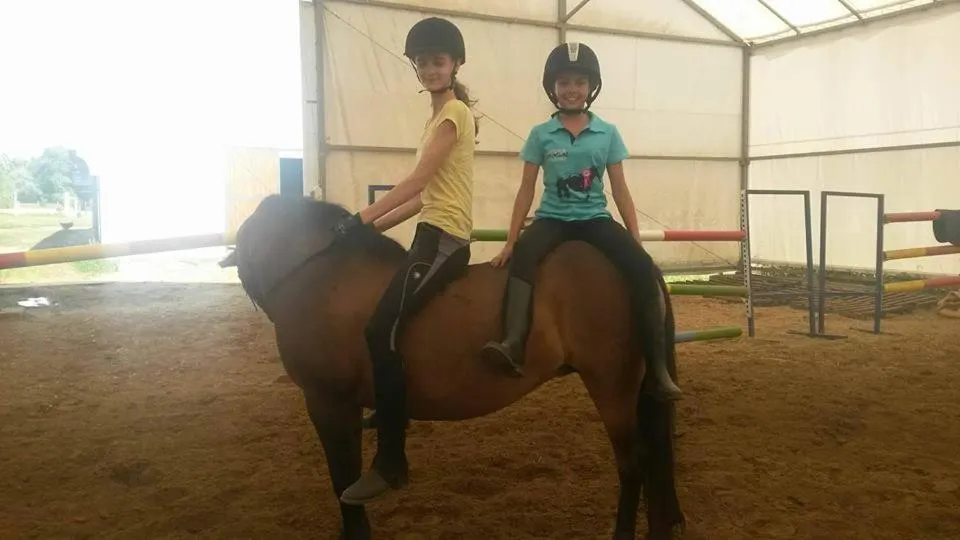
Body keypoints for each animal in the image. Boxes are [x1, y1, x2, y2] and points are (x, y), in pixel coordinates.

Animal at [221, 194, 686, 540]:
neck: (324, 275)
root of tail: (636, 261)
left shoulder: (328, 402)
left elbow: (342, 478)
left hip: (612, 385)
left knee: (634, 464)